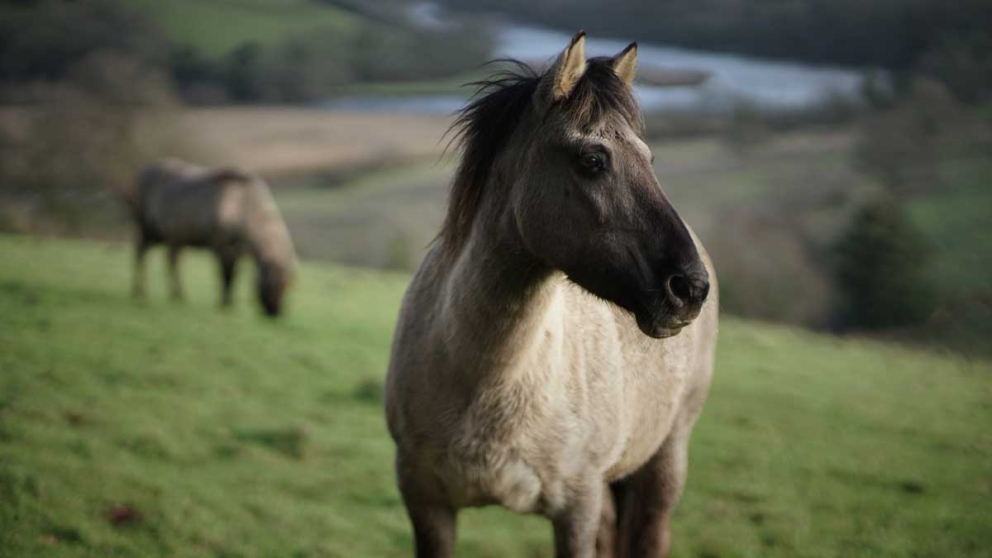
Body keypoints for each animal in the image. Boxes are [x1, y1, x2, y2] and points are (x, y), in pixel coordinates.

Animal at [125, 158, 296, 317]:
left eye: (287, 287)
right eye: (270, 285)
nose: (275, 313)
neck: (244, 206)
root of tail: (143, 173)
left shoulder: (238, 249)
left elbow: (234, 276)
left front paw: (229, 303)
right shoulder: (222, 246)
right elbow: (226, 275)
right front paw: (224, 303)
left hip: (168, 237)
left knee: (171, 261)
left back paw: (177, 295)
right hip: (146, 228)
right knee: (140, 253)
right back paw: (139, 291)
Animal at [385, 33, 718, 558]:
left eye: (649, 160)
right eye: (592, 161)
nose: (690, 287)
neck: (490, 384)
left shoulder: (575, 510)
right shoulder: (426, 503)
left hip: (665, 460)